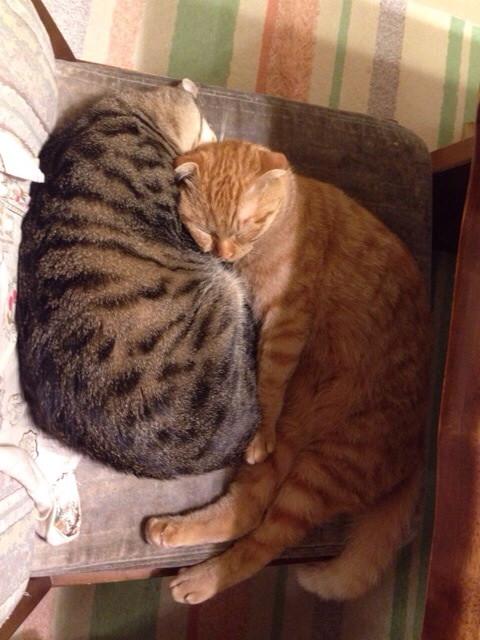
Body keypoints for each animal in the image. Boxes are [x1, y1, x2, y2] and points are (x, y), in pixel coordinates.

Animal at [145, 139, 431, 603]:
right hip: (293, 448)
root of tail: (418, 453)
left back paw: (199, 580)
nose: (223, 253)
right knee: (246, 512)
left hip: (321, 473)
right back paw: (171, 530)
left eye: (246, 228)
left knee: (265, 543)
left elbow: (270, 382)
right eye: (205, 229)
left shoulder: (286, 319)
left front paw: (262, 416)